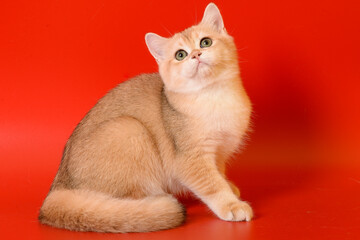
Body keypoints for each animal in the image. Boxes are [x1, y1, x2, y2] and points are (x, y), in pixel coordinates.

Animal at [38, 2, 253, 232]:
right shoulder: (191, 159)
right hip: (130, 129)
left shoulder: (219, 152)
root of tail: (58, 187)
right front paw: (231, 204)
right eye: (180, 55)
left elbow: (219, 174)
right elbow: (212, 185)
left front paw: (229, 187)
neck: (213, 96)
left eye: (205, 42)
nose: (196, 54)